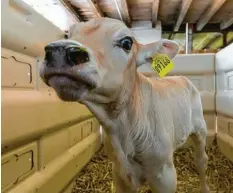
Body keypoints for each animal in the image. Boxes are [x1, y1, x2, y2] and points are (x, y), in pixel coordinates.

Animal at [40, 18, 209, 193]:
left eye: (127, 43)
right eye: (67, 35)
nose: (60, 50)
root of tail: (181, 77)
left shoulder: (165, 176)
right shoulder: (120, 174)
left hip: (200, 128)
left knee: (201, 161)